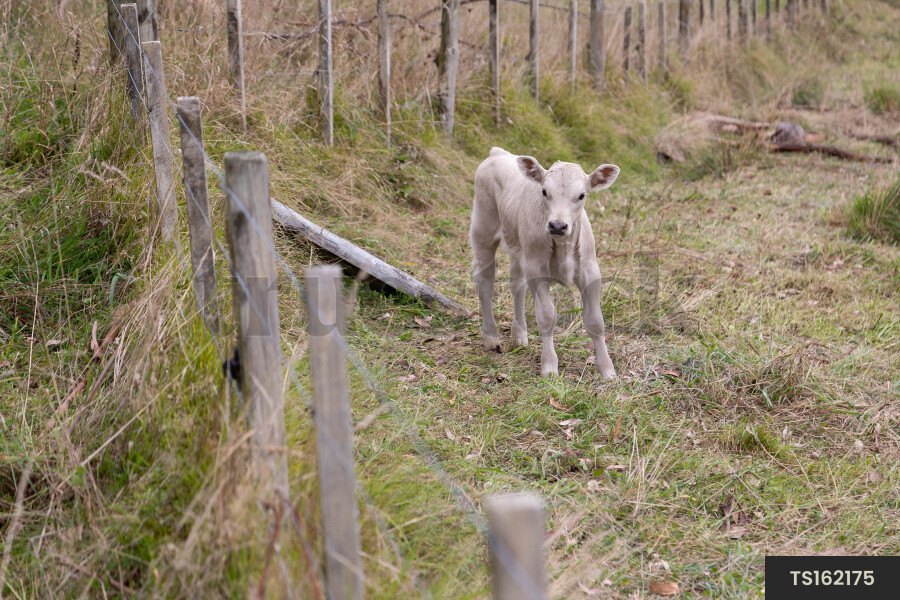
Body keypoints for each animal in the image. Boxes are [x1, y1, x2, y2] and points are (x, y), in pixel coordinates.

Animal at [469, 147, 620, 379]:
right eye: (544, 191)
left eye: (581, 195)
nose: (558, 225)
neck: (563, 247)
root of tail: (497, 153)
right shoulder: (537, 270)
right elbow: (547, 317)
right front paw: (549, 366)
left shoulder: (590, 271)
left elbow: (595, 321)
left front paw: (607, 370)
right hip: (482, 230)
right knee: (485, 284)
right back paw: (491, 337)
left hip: (520, 250)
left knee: (516, 283)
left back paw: (519, 335)